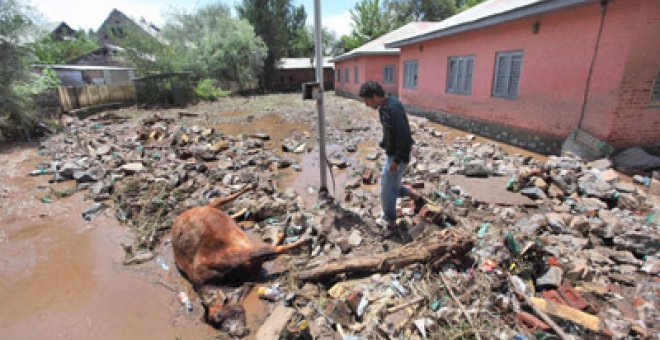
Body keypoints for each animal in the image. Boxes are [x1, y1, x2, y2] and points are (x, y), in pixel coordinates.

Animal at [171, 185, 308, 328]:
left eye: (218, 316)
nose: (240, 331)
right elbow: (271, 251)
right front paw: (282, 235)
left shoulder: (241, 254)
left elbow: (273, 249)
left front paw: (304, 241)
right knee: (228, 212)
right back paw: (244, 211)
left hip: (209, 207)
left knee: (222, 200)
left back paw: (249, 187)